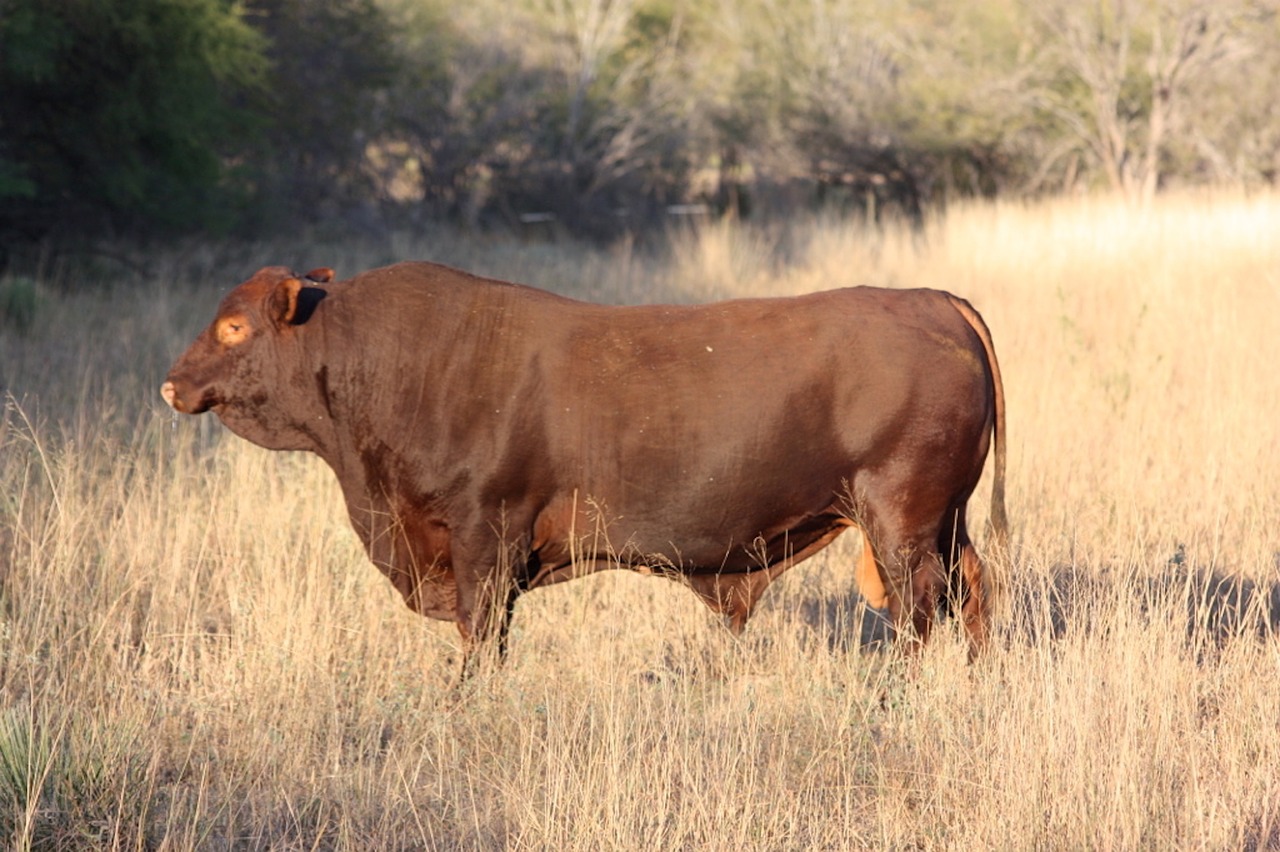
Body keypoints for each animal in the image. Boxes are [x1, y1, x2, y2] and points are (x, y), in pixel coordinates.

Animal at [160, 258, 1003, 670]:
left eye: (233, 326)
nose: (172, 383)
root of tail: (933, 300)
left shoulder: (485, 538)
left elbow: (481, 639)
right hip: (943, 523)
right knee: (972, 595)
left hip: (900, 520)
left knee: (917, 611)